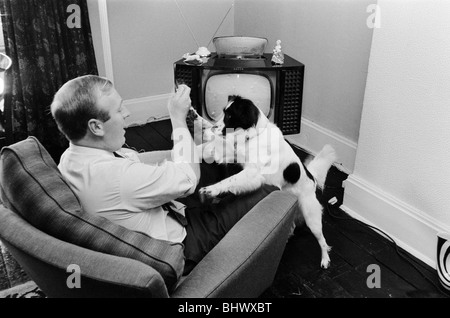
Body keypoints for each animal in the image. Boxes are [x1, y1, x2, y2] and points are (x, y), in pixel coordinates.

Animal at [188, 95, 336, 268]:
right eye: (223, 112)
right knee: (293, 226)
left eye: (230, 116)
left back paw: (325, 259)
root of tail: (311, 177)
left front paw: (210, 190)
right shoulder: (232, 154)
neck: (255, 135)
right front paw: (195, 117)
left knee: (322, 240)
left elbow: (229, 180)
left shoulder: (253, 173)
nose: (213, 128)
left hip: (311, 216)